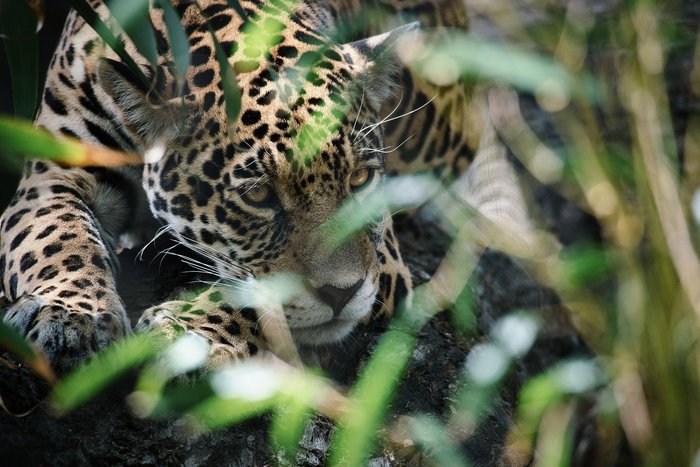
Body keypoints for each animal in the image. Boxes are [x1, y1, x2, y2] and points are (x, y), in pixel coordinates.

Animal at [0, 0, 489, 373]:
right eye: (259, 195)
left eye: (360, 179)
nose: (342, 294)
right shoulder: (53, 175)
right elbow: (57, 237)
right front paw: (70, 317)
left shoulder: (384, 246)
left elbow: (259, 295)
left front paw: (188, 333)